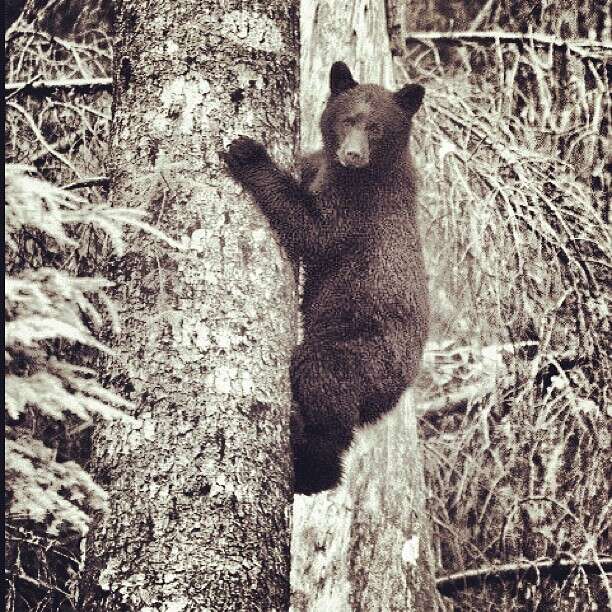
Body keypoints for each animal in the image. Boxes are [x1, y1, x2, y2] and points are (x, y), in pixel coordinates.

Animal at [225, 61, 430, 492]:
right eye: (348, 119)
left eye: (376, 128)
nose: (353, 154)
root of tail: (400, 389)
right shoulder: (325, 166)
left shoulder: (361, 205)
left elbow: (315, 231)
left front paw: (249, 153)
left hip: (359, 354)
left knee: (322, 387)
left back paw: (307, 452)